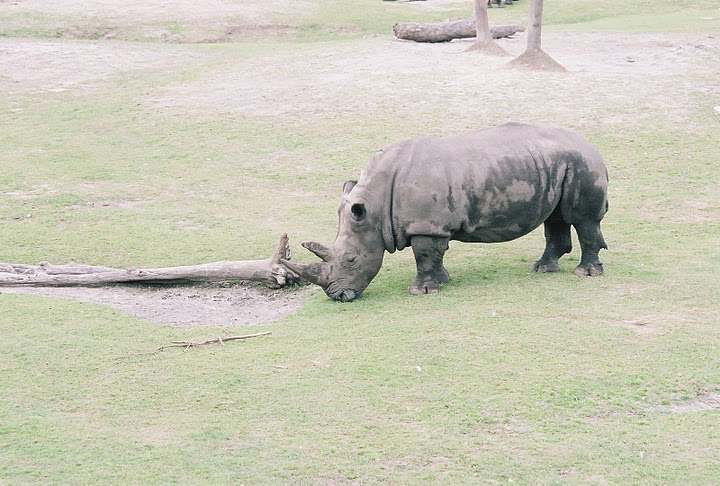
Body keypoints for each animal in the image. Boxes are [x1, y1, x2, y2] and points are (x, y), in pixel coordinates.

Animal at [284, 122, 608, 302]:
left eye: (351, 260)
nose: (337, 297)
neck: (374, 207)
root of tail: (593, 145)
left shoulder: (426, 225)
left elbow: (424, 255)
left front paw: (421, 292)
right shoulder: (432, 225)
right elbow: (434, 256)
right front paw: (443, 281)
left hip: (583, 164)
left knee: (582, 219)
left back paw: (585, 274)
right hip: (561, 163)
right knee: (555, 217)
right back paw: (542, 268)